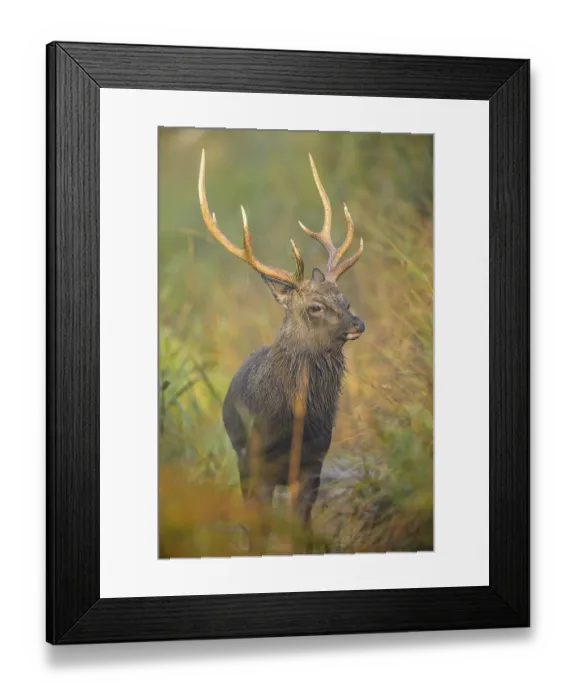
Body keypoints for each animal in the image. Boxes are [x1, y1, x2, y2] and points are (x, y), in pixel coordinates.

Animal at [198, 150, 365, 554]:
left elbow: (300, 532)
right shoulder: (256, 462)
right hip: (243, 460)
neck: (291, 423)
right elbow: (257, 532)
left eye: (345, 300)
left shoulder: (313, 463)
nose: (358, 323)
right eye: (315, 307)